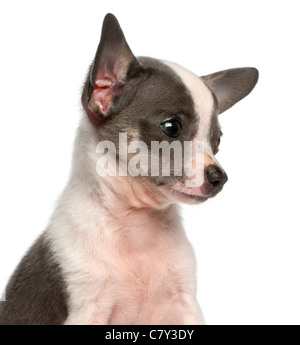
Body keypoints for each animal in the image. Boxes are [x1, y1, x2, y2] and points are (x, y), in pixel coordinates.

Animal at [0, 13, 258, 324]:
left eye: (217, 141)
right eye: (171, 128)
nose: (220, 177)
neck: (136, 223)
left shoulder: (185, 305)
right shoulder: (88, 310)